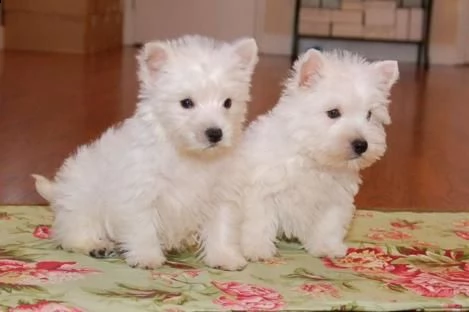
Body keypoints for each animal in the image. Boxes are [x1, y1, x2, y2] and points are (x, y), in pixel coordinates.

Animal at [32, 33, 260, 268]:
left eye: (228, 102)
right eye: (186, 103)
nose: (215, 133)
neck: (189, 155)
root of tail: (58, 192)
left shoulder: (222, 195)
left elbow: (222, 228)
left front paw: (225, 257)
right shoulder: (140, 193)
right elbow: (143, 229)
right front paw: (146, 257)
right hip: (82, 200)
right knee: (72, 232)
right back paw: (96, 245)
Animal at [212, 48, 398, 264]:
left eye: (369, 115)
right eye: (333, 112)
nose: (361, 145)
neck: (311, 157)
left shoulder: (335, 199)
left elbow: (329, 225)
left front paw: (327, 248)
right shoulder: (261, 192)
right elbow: (258, 223)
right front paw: (257, 250)